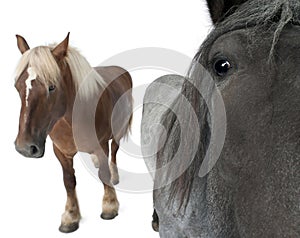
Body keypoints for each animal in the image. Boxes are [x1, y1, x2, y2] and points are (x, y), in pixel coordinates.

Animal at [12, 33, 132, 232]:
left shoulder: (101, 145)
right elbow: (68, 181)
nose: (25, 148)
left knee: (114, 152)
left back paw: (114, 175)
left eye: (51, 87)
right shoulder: (61, 151)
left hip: (118, 131)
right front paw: (70, 216)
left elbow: (104, 174)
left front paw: (109, 205)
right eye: (17, 86)